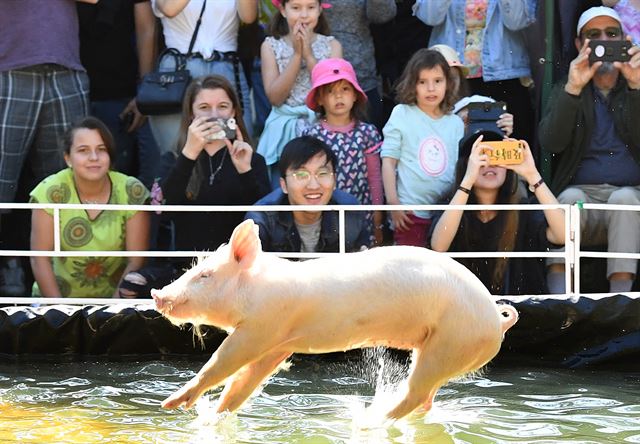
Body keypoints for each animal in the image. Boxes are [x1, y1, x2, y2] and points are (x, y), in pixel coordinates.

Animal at [152, 220, 516, 422]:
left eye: (205, 275)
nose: (157, 293)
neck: (258, 288)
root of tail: (497, 320)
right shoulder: (278, 344)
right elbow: (244, 382)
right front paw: (214, 416)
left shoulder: (264, 326)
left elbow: (221, 362)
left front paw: (170, 404)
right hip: (443, 349)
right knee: (425, 396)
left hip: (452, 341)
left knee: (415, 392)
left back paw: (371, 421)